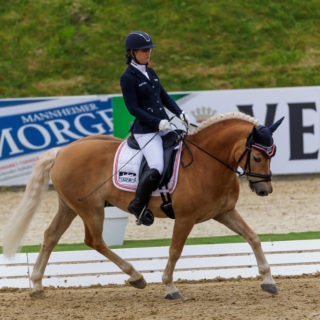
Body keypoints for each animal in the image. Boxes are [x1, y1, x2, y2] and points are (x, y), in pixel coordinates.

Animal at [2, 112, 282, 300]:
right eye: (258, 157)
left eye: (273, 155)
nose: (264, 191)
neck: (207, 162)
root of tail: (62, 151)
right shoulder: (185, 218)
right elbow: (175, 251)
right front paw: (170, 287)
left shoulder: (224, 212)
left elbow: (253, 238)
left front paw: (268, 281)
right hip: (91, 209)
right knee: (95, 241)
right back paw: (136, 276)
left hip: (68, 206)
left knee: (51, 236)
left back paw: (37, 286)